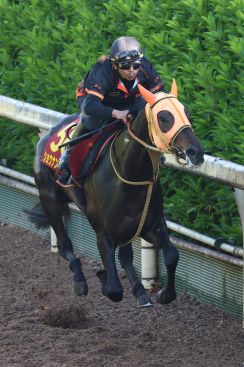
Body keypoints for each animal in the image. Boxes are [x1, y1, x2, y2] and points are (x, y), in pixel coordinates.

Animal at [26, 80, 204, 308]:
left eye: (186, 112)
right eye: (163, 117)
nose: (196, 152)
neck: (129, 173)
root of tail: (48, 135)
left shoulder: (150, 224)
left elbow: (172, 255)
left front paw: (163, 294)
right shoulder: (104, 233)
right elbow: (114, 289)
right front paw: (102, 276)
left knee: (125, 257)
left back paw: (141, 293)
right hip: (50, 199)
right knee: (66, 246)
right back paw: (80, 280)